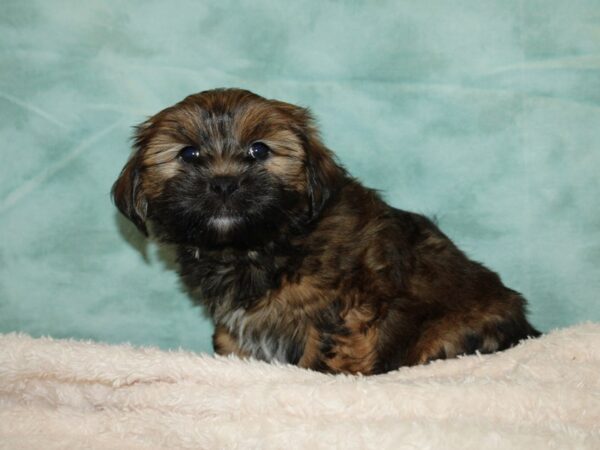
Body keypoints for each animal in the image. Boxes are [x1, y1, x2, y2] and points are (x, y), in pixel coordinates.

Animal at [111, 87, 540, 372]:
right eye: (189, 154)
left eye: (259, 150)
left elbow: (329, 354)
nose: (223, 184)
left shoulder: (345, 314)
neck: (264, 243)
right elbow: (234, 343)